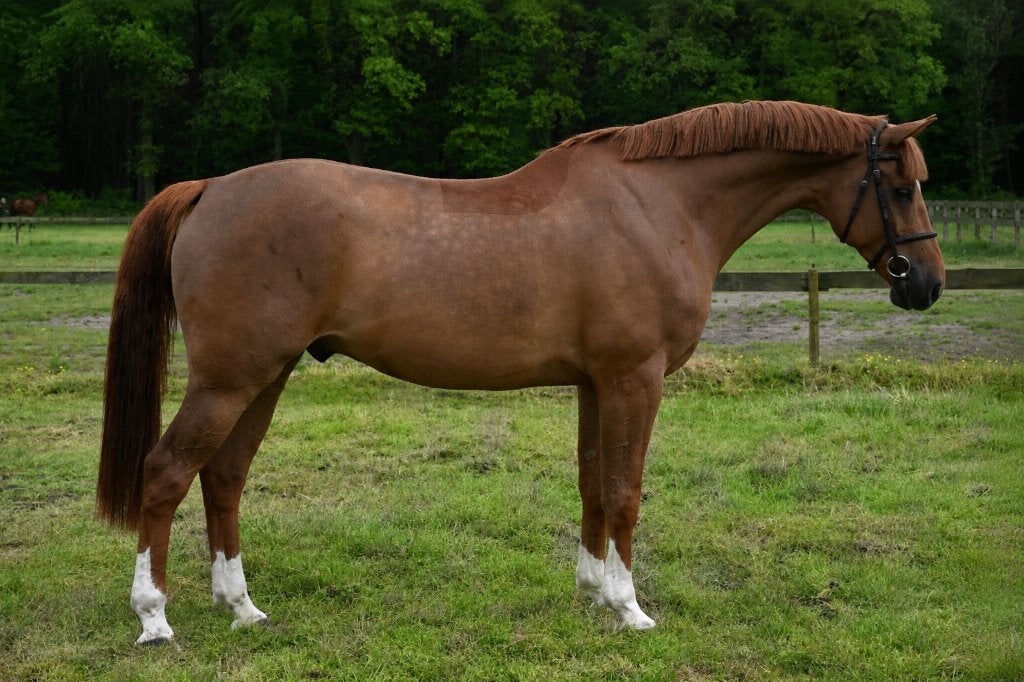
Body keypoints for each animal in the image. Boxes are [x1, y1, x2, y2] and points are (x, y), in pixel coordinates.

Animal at [97, 100, 944, 645]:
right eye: (901, 186)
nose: (928, 285)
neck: (658, 204)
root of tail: (210, 189)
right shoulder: (635, 378)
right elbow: (625, 490)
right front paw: (631, 610)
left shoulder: (597, 382)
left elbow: (593, 484)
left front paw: (594, 592)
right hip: (229, 379)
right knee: (166, 473)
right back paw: (155, 618)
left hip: (262, 376)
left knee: (224, 477)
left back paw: (241, 608)